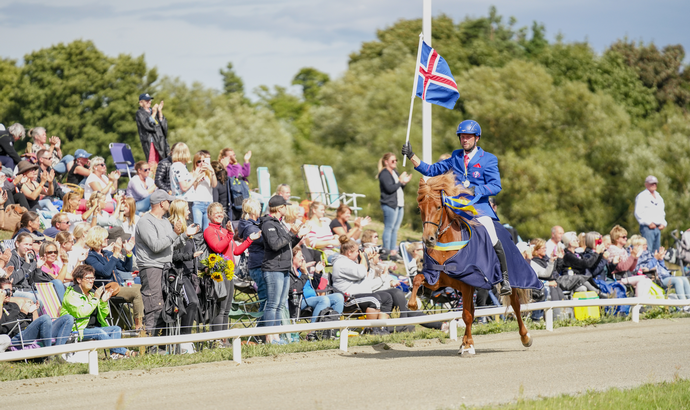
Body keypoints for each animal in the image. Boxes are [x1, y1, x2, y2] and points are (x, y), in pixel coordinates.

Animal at [408, 173, 532, 356]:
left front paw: (468, 346)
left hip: (508, 282)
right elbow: (417, 279)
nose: (428, 239)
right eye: (420, 208)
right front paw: (413, 303)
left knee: (515, 305)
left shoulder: (467, 284)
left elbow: (467, 315)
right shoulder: (437, 280)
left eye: (438, 207)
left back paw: (525, 337)